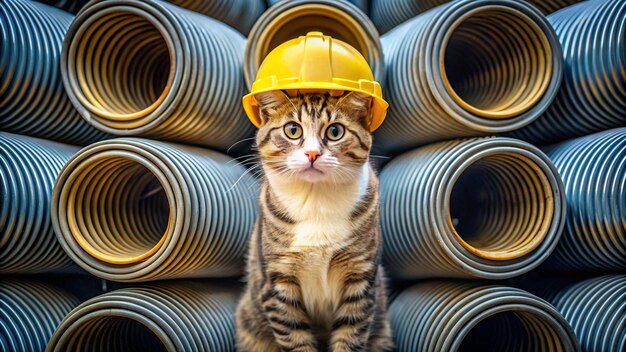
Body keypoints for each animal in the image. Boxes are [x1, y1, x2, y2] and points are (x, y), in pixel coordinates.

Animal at [234, 91, 390, 352]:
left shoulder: (360, 279)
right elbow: (294, 336)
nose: (312, 154)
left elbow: (350, 335)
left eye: (335, 131)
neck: (316, 199)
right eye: (292, 130)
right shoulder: (277, 283)